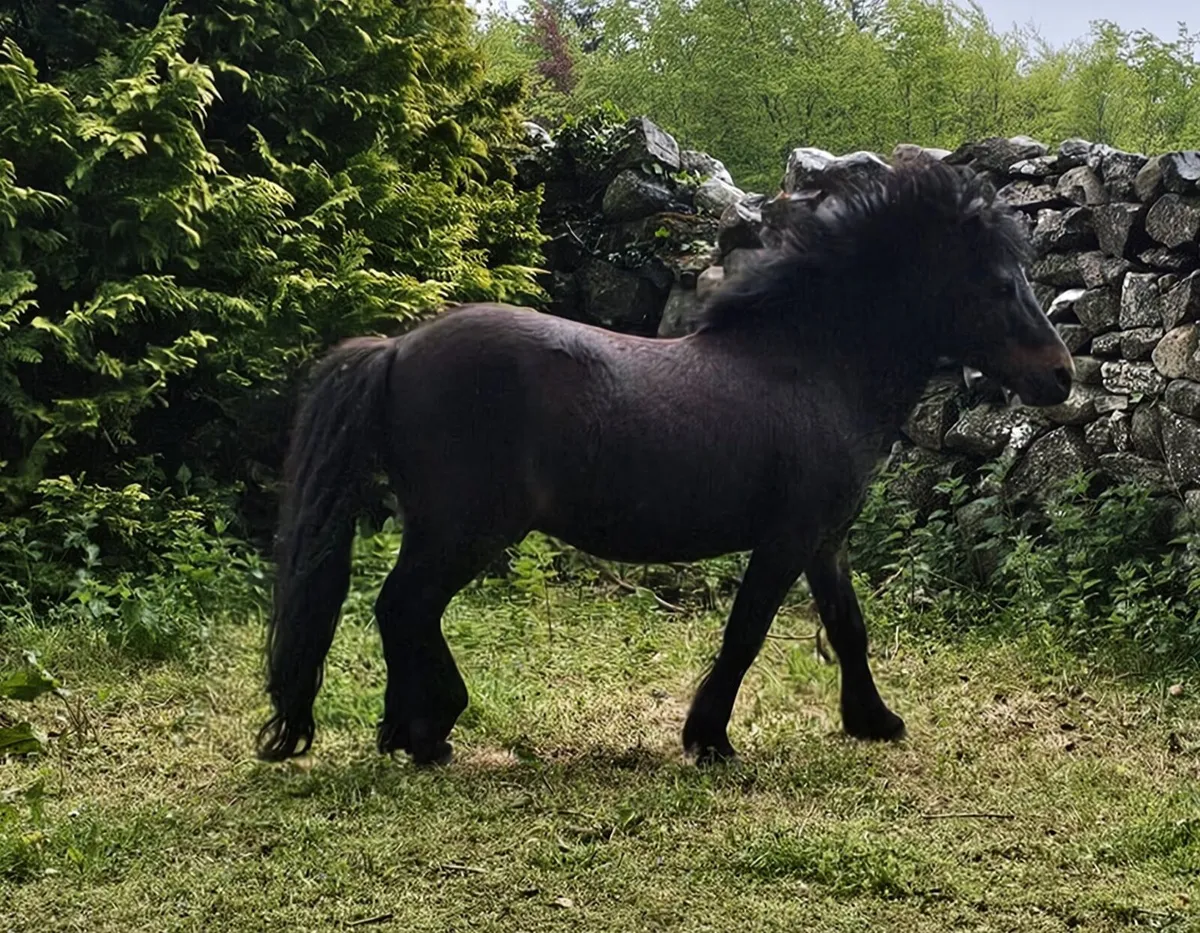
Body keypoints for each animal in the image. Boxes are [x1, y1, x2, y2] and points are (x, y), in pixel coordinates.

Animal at [255, 160, 1073, 767]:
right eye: (1000, 284)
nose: (1061, 375)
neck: (813, 367)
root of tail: (396, 349)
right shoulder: (786, 540)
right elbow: (745, 633)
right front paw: (708, 736)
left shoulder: (824, 541)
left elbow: (848, 628)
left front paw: (874, 719)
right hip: (465, 529)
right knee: (404, 606)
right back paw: (429, 731)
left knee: (402, 610)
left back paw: (406, 731)